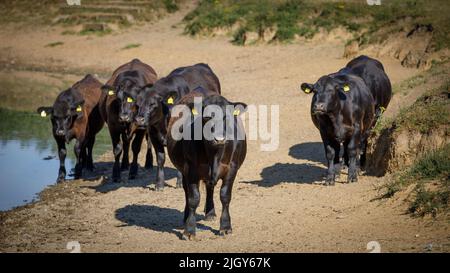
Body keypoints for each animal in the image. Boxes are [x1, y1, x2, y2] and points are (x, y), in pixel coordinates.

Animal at [167, 88, 248, 239]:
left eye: (226, 116)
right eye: (206, 117)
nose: (219, 139)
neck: (214, 155)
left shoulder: (232, 168)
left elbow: (225, 196)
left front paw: (225, 227)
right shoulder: (191, 170)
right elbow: (193, 198)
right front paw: (189, 230)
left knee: (210, 188)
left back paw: (210, 213)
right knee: (187, 192)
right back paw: (186, 217)